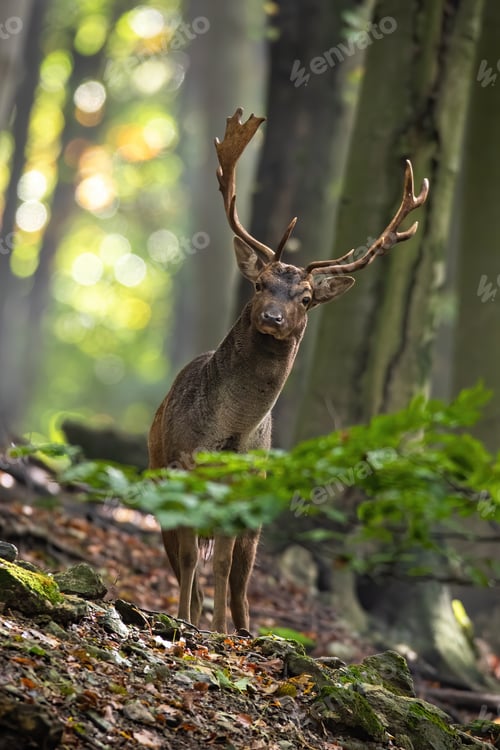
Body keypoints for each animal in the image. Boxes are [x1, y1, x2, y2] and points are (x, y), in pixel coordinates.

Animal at [148, 108, 429, 634]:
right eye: (259, 284)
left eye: (306, 298)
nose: (274, 318)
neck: (228, 435)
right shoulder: (182, 471)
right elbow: (192, 561)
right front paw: (186, 622)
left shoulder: (243, 495)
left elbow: (221, 566)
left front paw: (219, 633)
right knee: (184, 559)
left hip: (256, 520)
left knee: (241, 579)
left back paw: (242, 628)